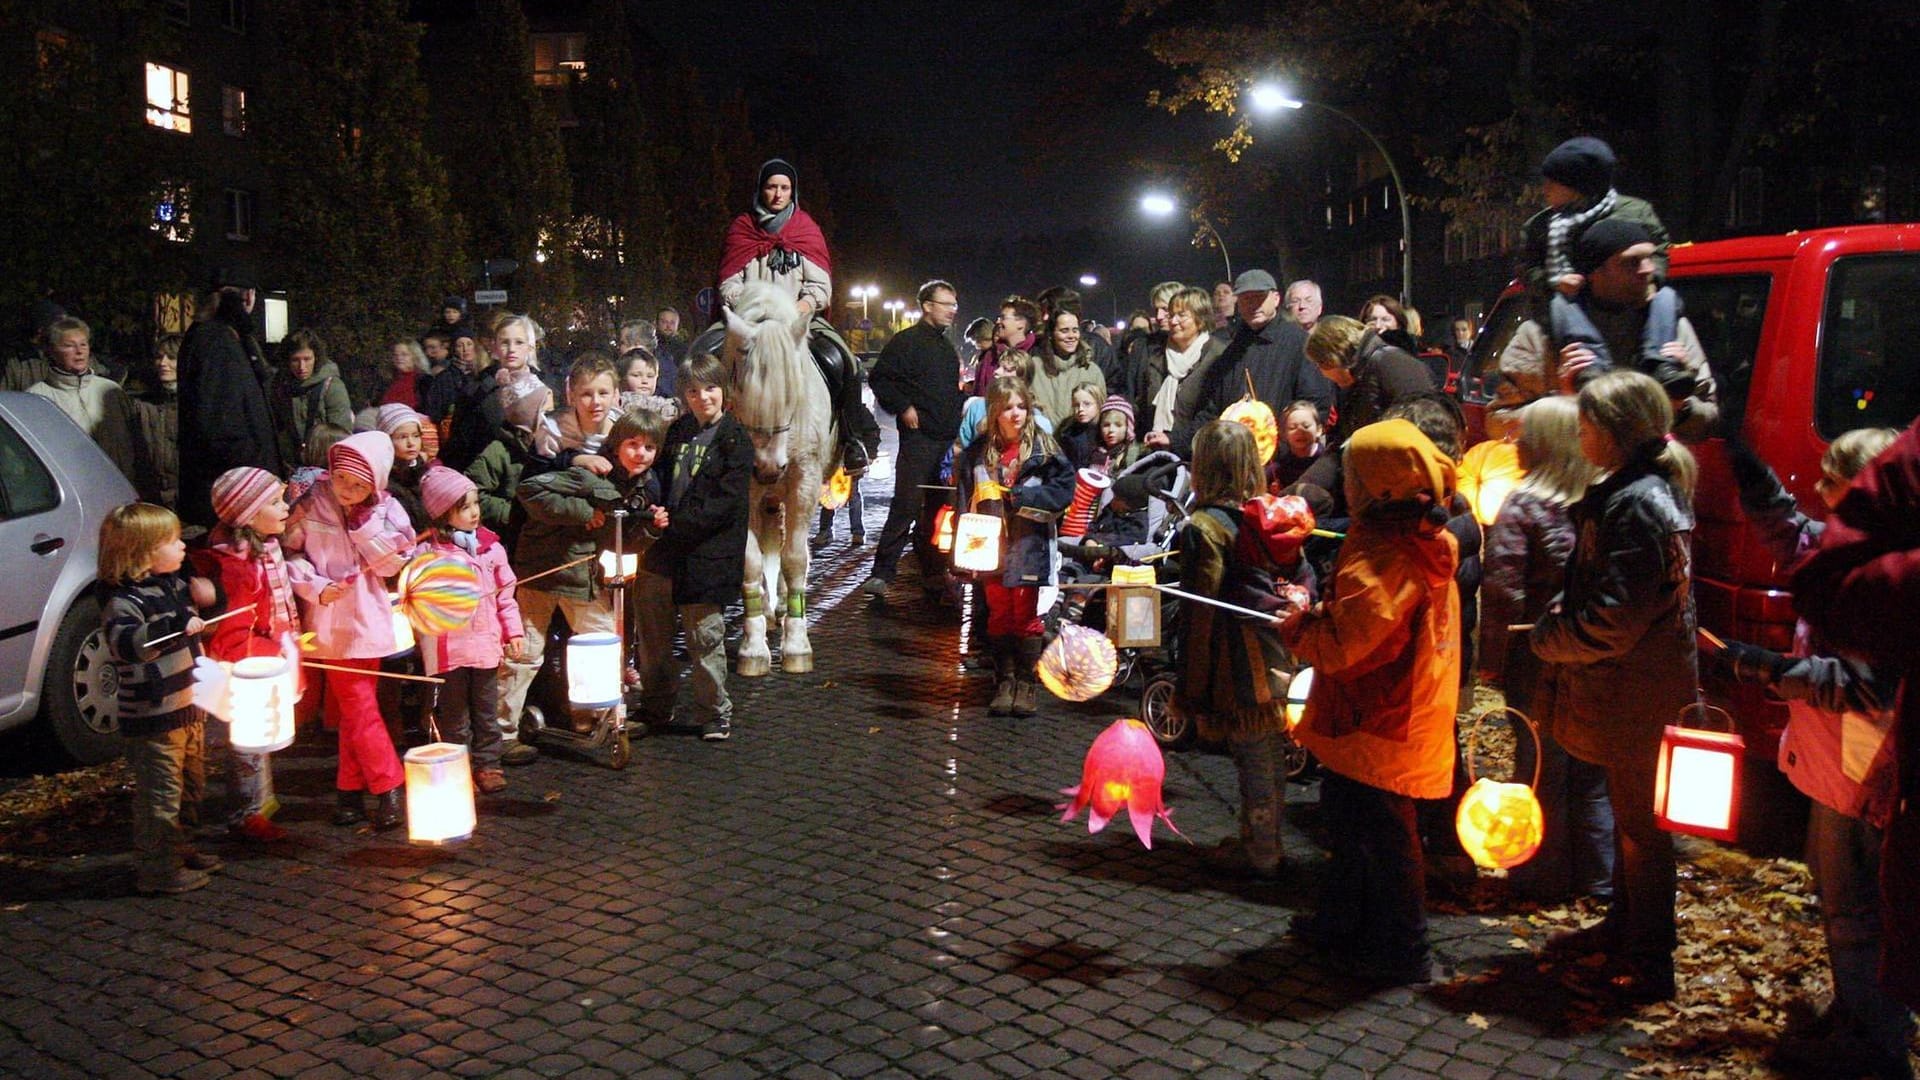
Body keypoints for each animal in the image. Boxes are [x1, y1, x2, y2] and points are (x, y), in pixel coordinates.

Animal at [721, 282, 837, 676]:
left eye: (794, 392)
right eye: (740, 388)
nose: (769, 469)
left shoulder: (804, 481)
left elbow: (795, 559)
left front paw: (797, 644)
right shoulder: (744, 490)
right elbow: (752, 561)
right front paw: (753, 648)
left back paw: (785, 605)